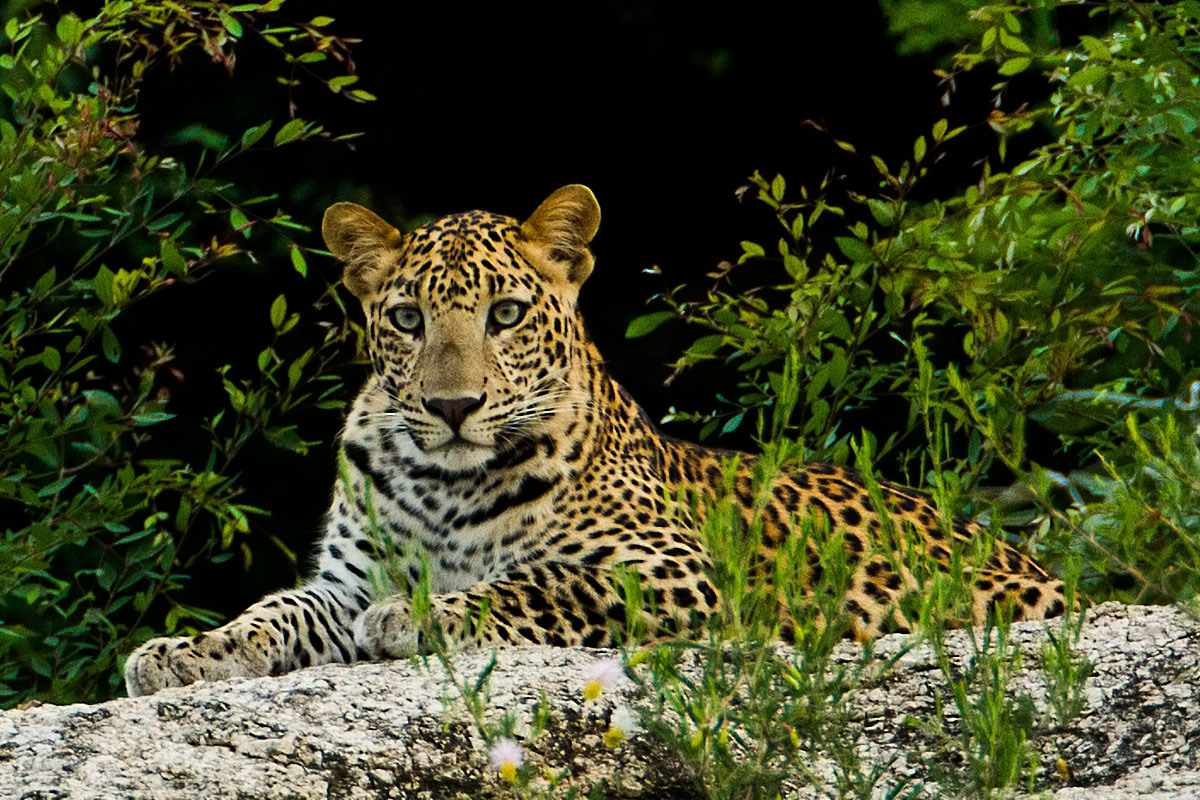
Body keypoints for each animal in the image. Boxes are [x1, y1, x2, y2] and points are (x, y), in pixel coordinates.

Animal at [126, 184, 1070, 695]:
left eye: (506, 314)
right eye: (406, 319)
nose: (454, 406)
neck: (444, 483)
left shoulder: (674, 572)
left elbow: (536, 583)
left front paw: (420, 613)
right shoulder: (342, 582)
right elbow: (273, 612)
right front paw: (186, 653)